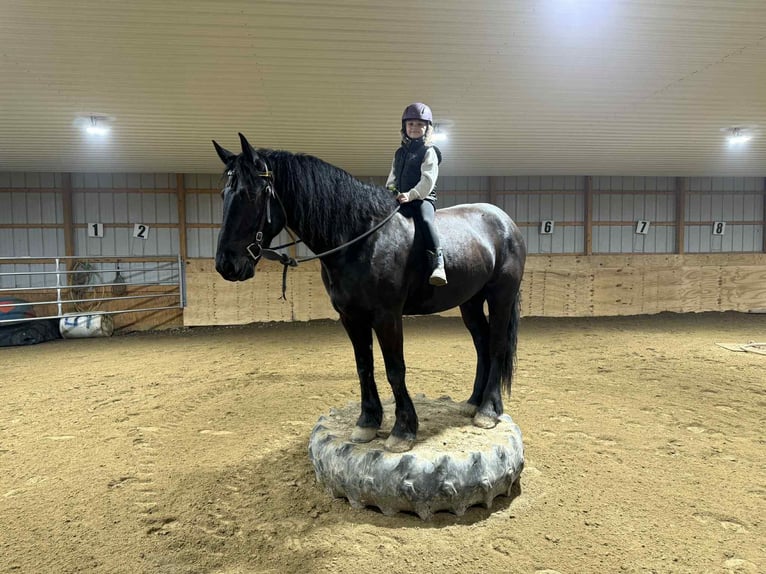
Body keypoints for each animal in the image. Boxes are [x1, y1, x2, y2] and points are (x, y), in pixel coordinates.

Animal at [213, 133, 526, 453]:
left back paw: (488, 410)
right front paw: (367, 422)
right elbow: (364, 366)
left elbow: (395, 369)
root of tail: (505, 222)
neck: (361, 238)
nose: (227, 264)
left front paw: (403, 430)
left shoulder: (387, 316)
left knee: (497, 344)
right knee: (482, 343)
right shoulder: (351, 317)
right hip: (470, 302)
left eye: (251, 194)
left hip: (501, 296)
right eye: (224, 194)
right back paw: (473, 402)